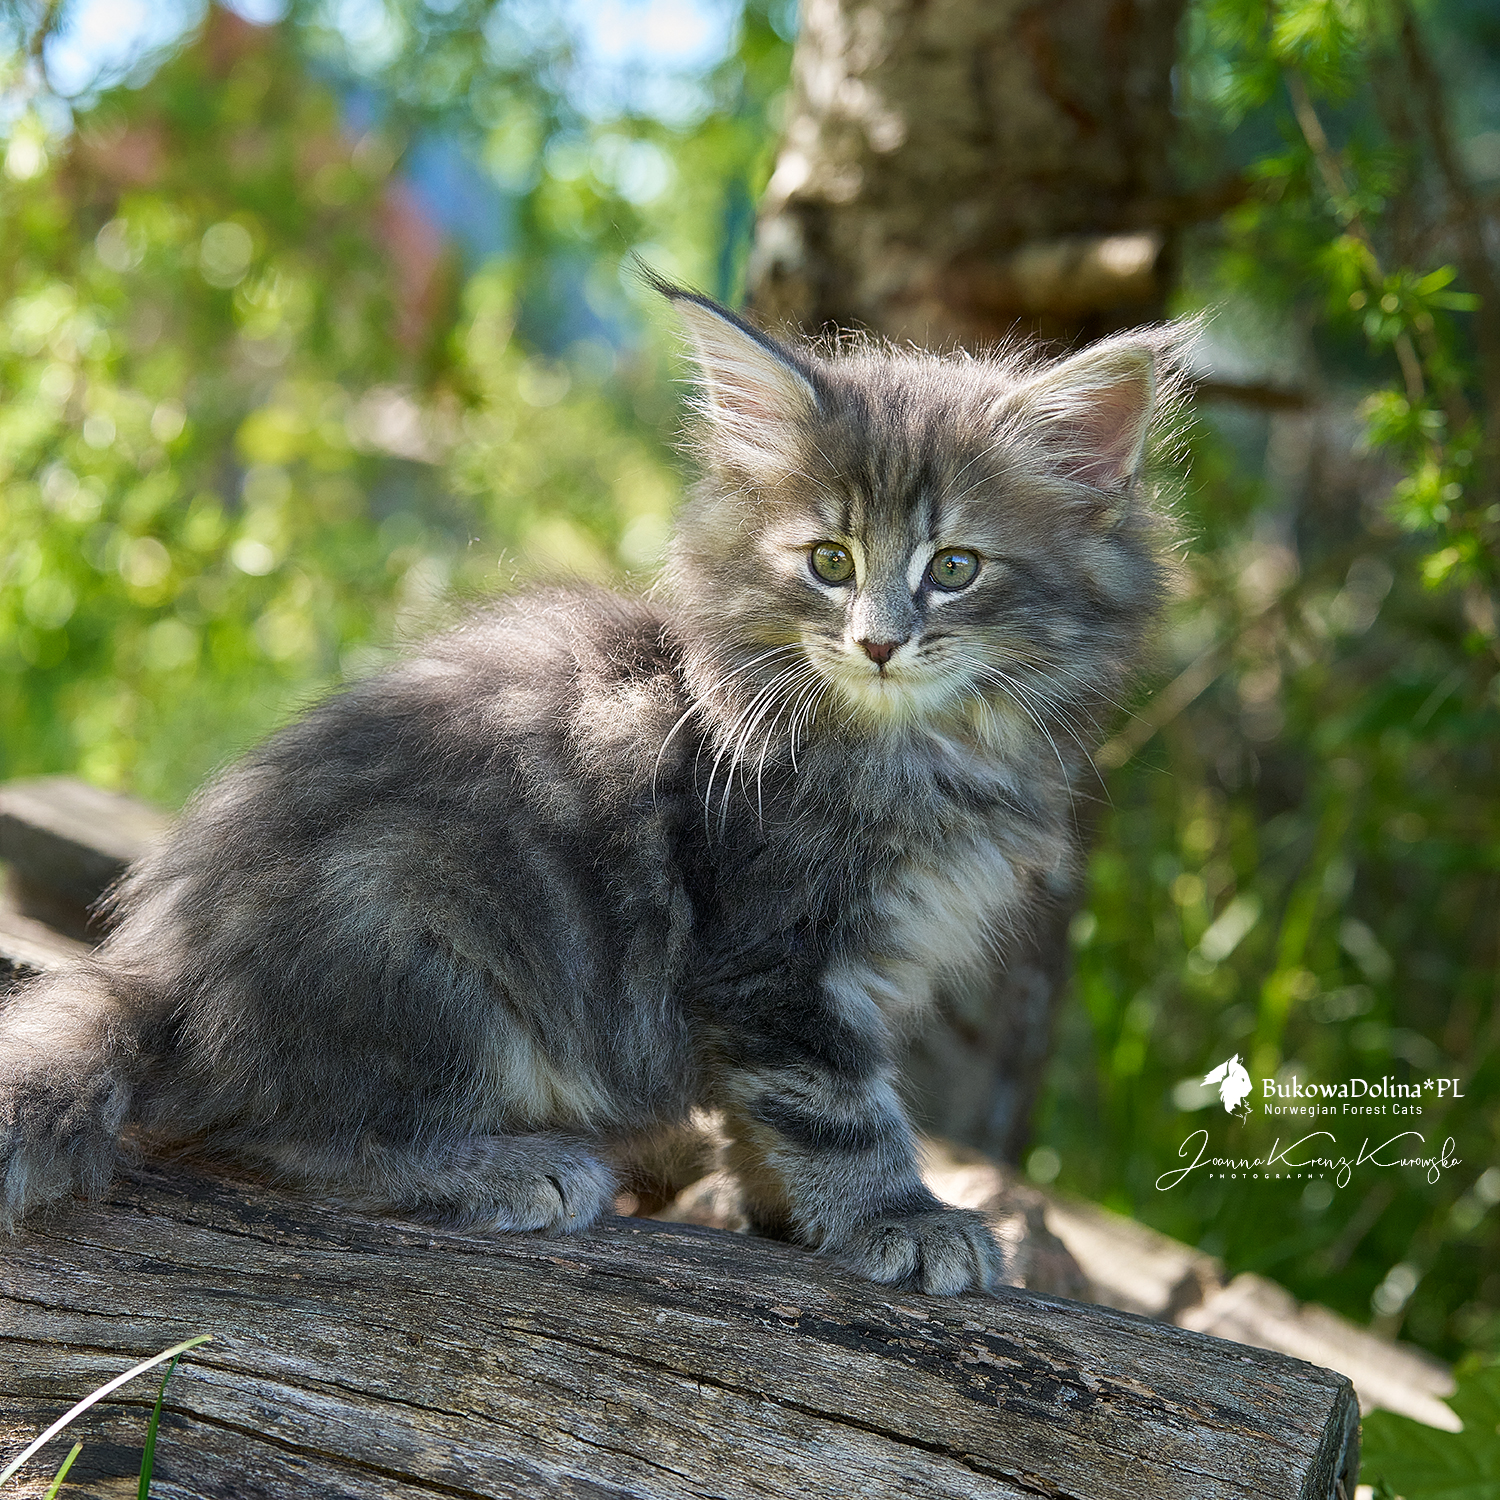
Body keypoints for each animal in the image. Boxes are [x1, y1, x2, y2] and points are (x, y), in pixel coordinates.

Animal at [0, 282, 1181, 1295]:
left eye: (955, 569)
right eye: (831, 562)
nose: (879, 644)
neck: (917, 749)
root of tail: (163, 972)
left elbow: (762, 1115)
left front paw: (783, 1214)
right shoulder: (773, 962)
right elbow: (835, 1106)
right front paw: (900, 1216)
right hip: (416, 941)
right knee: (287, 1133)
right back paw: (510, 1166)